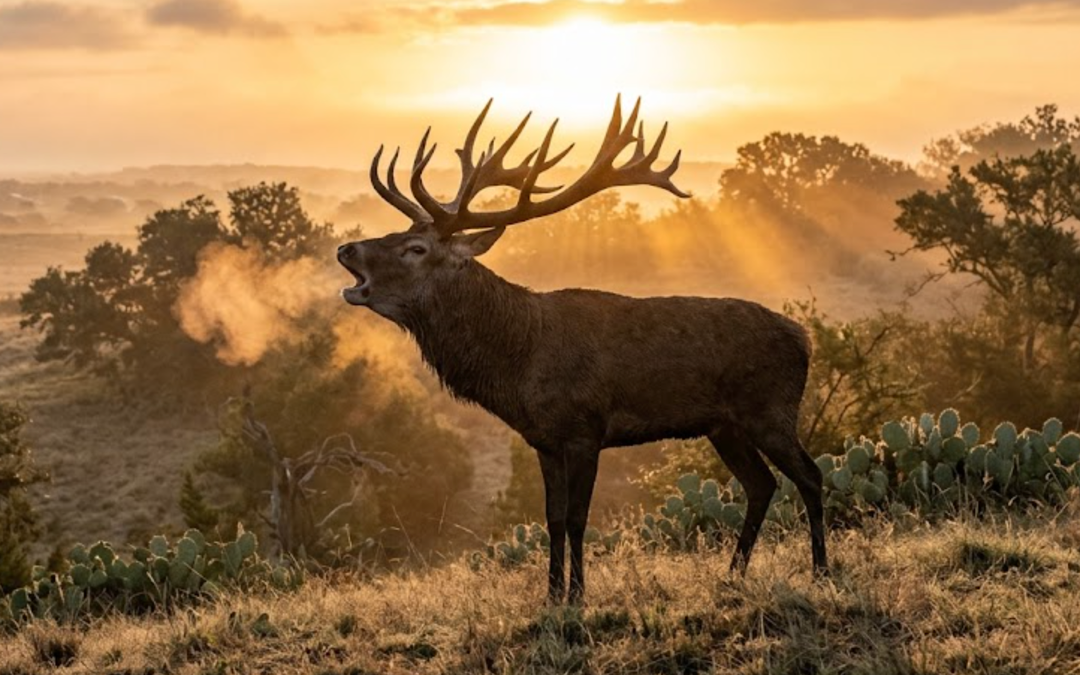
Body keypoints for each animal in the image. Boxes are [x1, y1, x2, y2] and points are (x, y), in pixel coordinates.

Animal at [337, 97, 826, 603]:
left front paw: (577, 594)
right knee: (762, 484)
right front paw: (552, 595)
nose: (346, 249)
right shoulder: (544, 440)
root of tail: (804, 338)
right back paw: (733, 574)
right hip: (724, 426)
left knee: (810, 476)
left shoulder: (585, 429)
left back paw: (820, 571)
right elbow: (552, 519)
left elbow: (577, 518)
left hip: (770, 410)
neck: (519, 365)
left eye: (415, 247)